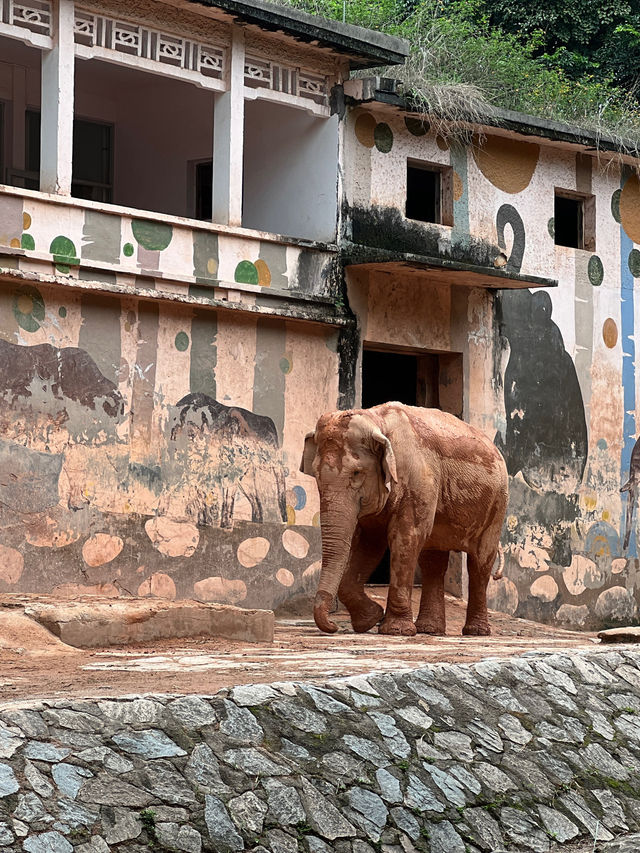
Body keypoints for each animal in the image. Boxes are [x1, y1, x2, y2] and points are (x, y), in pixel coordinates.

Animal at [302, 402, 510, 636]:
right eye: (316, 475)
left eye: (356, 473)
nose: (334, 625)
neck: (377, 420)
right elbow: (369, 543)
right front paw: (371, 619)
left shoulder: (418, 480)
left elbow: (405, 538)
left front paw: (395, 630)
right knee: (432, 561)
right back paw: (429, 629)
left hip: (498, 504)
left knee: (480, 562)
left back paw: (475, 632)